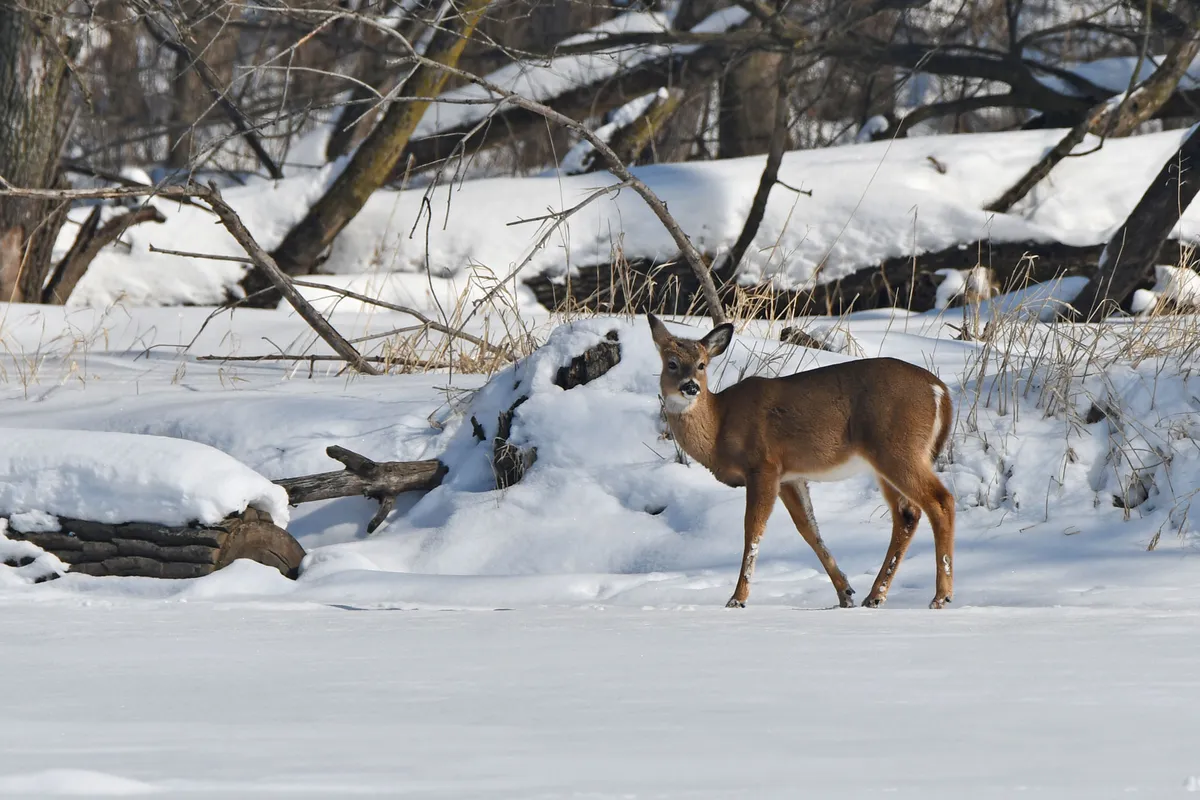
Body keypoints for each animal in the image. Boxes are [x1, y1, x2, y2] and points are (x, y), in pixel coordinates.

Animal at [647, 314, 956, 610]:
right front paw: (845, 592)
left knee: (940, 501)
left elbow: (753, 530)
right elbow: (809, 529)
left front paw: (737, 598)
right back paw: (875, 596)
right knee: (907, 514)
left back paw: (941, 596)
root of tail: (941, 391)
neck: (720, 425)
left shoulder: (763, 465)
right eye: (672, 363)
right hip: (886, 460)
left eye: (702, 364)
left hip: (898, 448)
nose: (690, 387)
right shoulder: (790, 476)